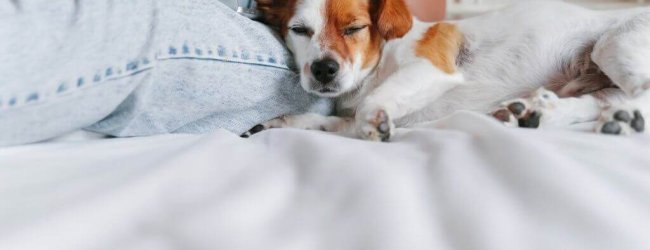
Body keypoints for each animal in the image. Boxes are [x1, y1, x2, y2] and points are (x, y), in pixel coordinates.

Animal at [244, 0, 648, 141]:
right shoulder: (343, 119)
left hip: (614, 45)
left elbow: (367, 110)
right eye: (299, 30)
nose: (324, 69)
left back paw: (627, 117)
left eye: (354, 28)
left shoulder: (432, 68)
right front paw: (275, 123)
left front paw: (376, 124)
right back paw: (532, 114)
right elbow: (323, 121)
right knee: (601, 101)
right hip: (598, 81)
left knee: (641, 94)